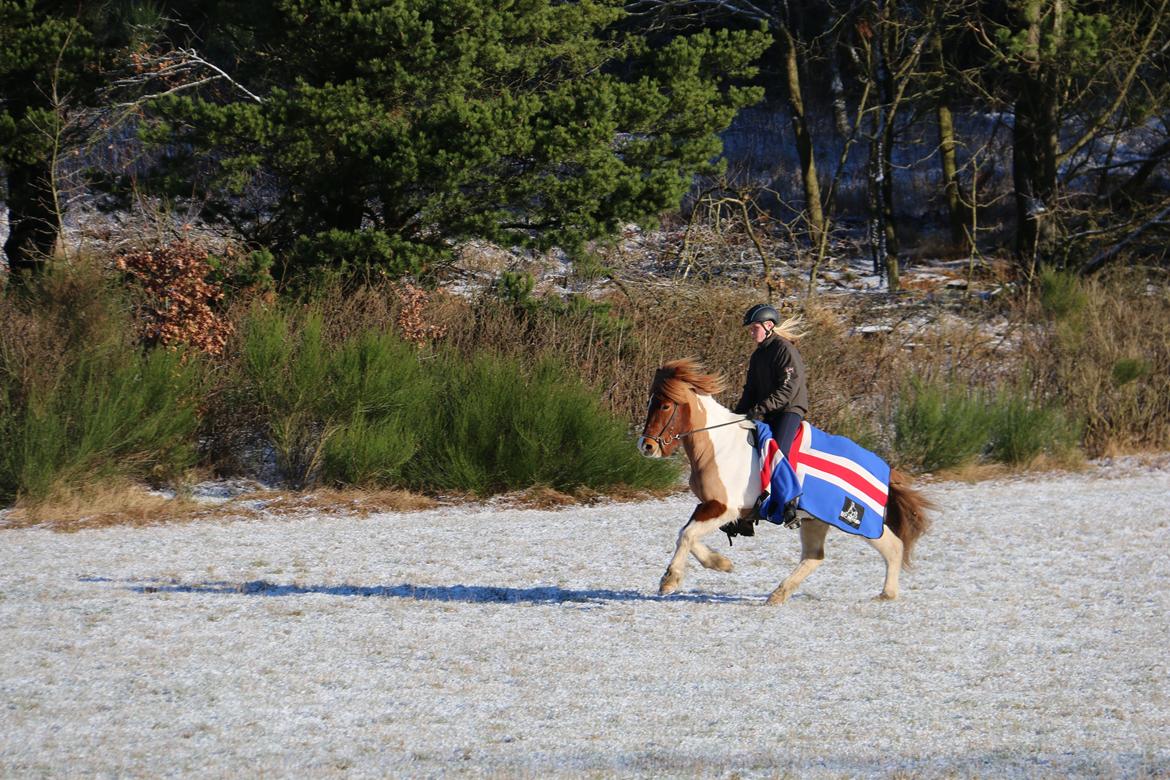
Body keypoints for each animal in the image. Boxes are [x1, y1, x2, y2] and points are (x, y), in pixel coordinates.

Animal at [641, 357, 931, 603]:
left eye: (665, 405)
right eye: (650, 402)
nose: (646, 446)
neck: (719, 446)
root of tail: (885, 469)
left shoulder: (725, 508)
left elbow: (687, 535)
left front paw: (670, 580)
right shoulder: (709, 506)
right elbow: (686, 534)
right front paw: (721, 563)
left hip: (859, 522)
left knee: (893, 546)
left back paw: (887, 594)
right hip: (815, 521)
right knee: (814, 557)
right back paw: (778, 595)